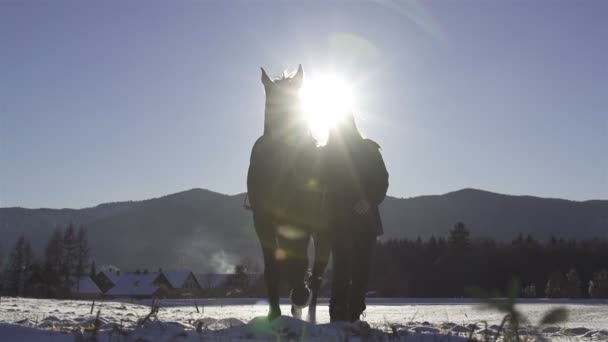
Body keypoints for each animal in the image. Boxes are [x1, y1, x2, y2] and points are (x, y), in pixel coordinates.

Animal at [247, 65, 330, 324]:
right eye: (272, 101)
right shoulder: (262, 221)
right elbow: (273, 267)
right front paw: (274, 312)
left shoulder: (301, 221)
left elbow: (300, 263)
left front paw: (299, 296)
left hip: (322, 233)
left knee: (317, 276)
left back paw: (308, 314)